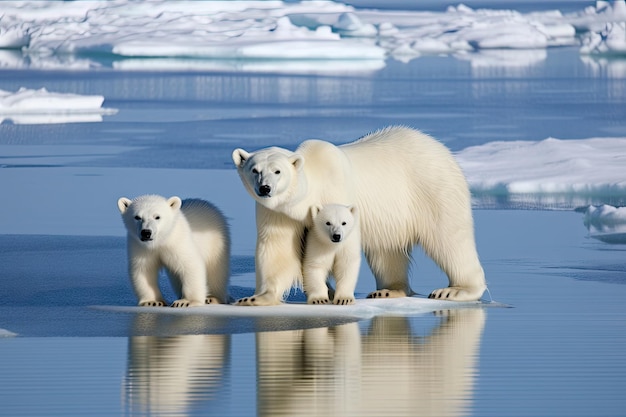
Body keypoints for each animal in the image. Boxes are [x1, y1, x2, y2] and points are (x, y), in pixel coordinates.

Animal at [232, 125, 486, 304]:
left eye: (277, 171)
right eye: (254, 170)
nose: (265, 188)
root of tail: (441, 148)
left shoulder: (338, 194)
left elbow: (343, 244)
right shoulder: (280, 212)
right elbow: (276, 247)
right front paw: (254, 298)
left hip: (433, 188)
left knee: (450, 238)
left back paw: (454, 290)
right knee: (387, 250)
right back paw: (389, 290)